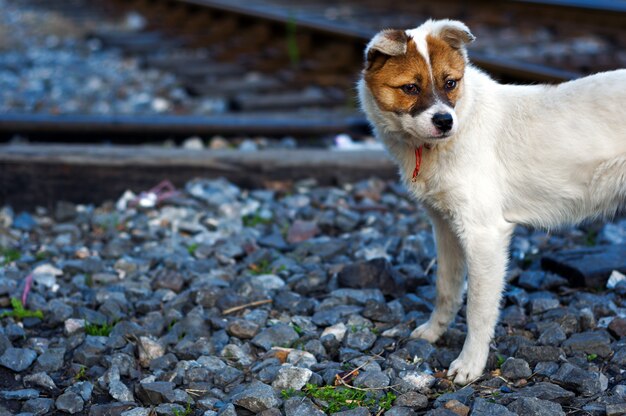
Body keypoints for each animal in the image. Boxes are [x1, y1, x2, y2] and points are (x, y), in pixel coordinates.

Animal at [356, 18, 624, 384]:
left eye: (450, 83)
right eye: (410, 87)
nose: (445, 121)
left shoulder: (484, 235)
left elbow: (478, 309)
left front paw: (470, 364)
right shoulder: (445, 227)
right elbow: (447, 288)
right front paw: (433, 332)